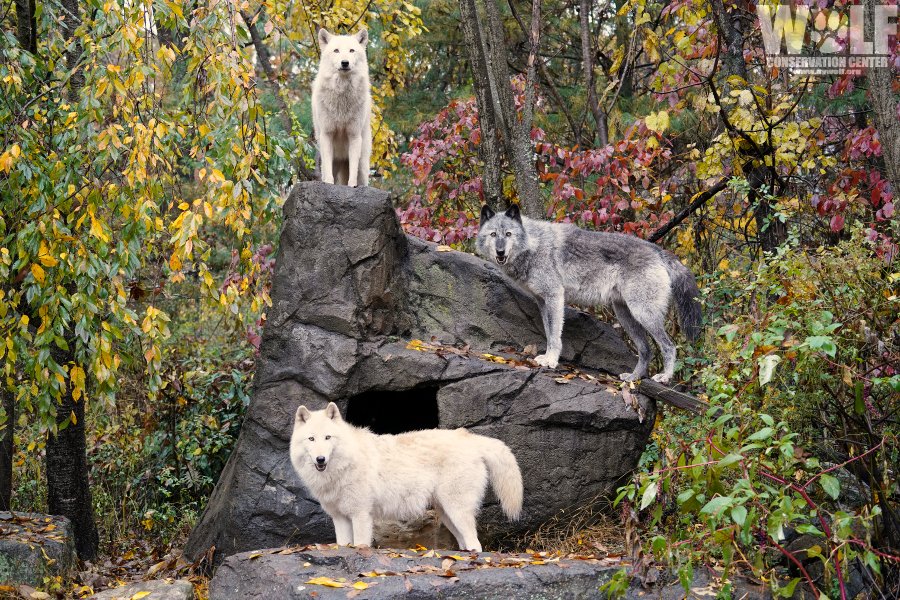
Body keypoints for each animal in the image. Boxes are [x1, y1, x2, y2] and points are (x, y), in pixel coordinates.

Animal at [289, 402, 523, 552]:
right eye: (311, 439)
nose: (320, 459)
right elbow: (343, 545)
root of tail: (470, 438)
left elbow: (361, 545)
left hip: (456, 509)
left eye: (328, 437)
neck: (344, 465)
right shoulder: (339, 518)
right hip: (447, 514)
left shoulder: (361, 515)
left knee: (477, 544)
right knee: (467, 543)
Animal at [312, 28, 372, 187]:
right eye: (336, 51)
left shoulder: (354, 135)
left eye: (351, 50)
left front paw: (352, 186)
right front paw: (328, 183)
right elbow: (327, 169)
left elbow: (353, 168)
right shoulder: (327, 133)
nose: (345, 62)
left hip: (363, 165)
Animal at [476, 204, 702, 384]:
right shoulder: (542, 301)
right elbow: (549, 333)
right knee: (646, 350)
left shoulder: (555, 297)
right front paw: (548, 358)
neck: (534, 244)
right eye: (493, 235)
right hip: (625, 316)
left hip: (643, 314)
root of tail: (657, 250)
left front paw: (551, 361)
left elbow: (555, 336)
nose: (500, 252)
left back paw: (664, 377)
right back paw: (633, 378)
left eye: (508, 234)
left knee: (669, 346)